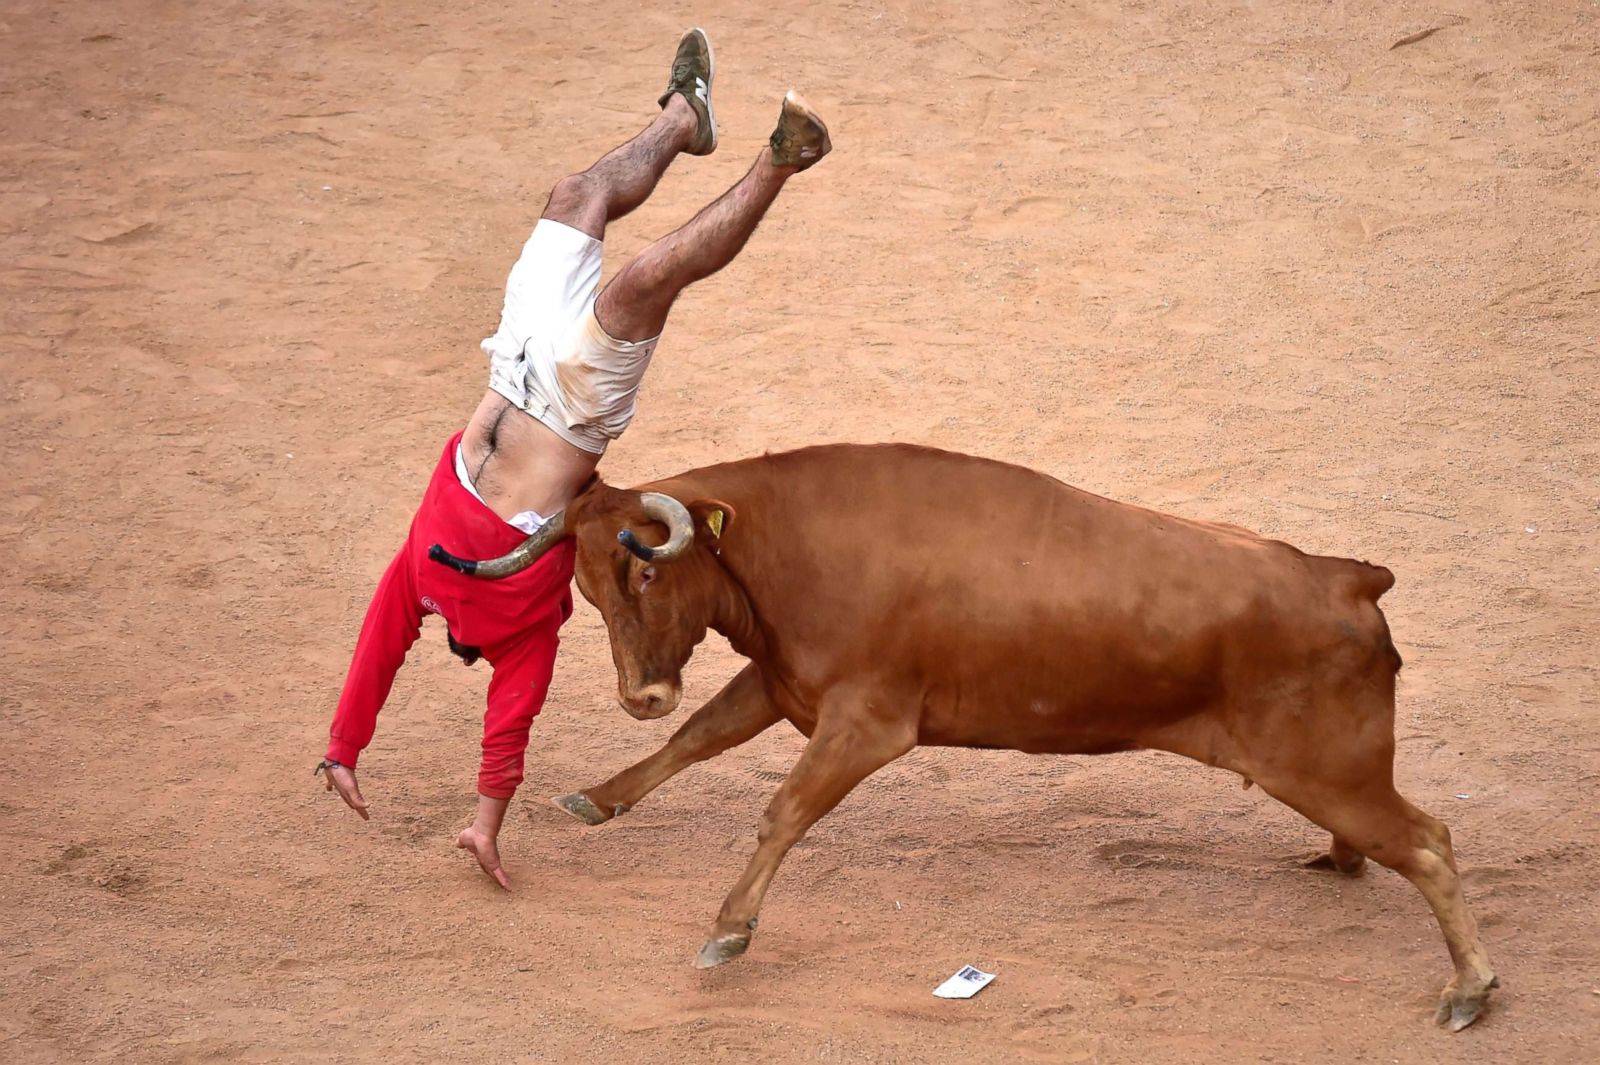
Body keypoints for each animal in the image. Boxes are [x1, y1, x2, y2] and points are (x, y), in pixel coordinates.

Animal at [435, 438, 1497, 1023]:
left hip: (1325, 767)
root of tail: (1349, 576)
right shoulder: (782, 684)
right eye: (584, 585)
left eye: (648, 570)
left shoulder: (865, 723)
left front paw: (730, 928)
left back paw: (1471, 987)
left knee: (1429, 842)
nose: (639, 694)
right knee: (1388, 837)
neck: (787, 543)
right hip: (1328, 773)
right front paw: (600, 795)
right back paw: (1344, 866)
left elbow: (782, 810)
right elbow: (697, 738)